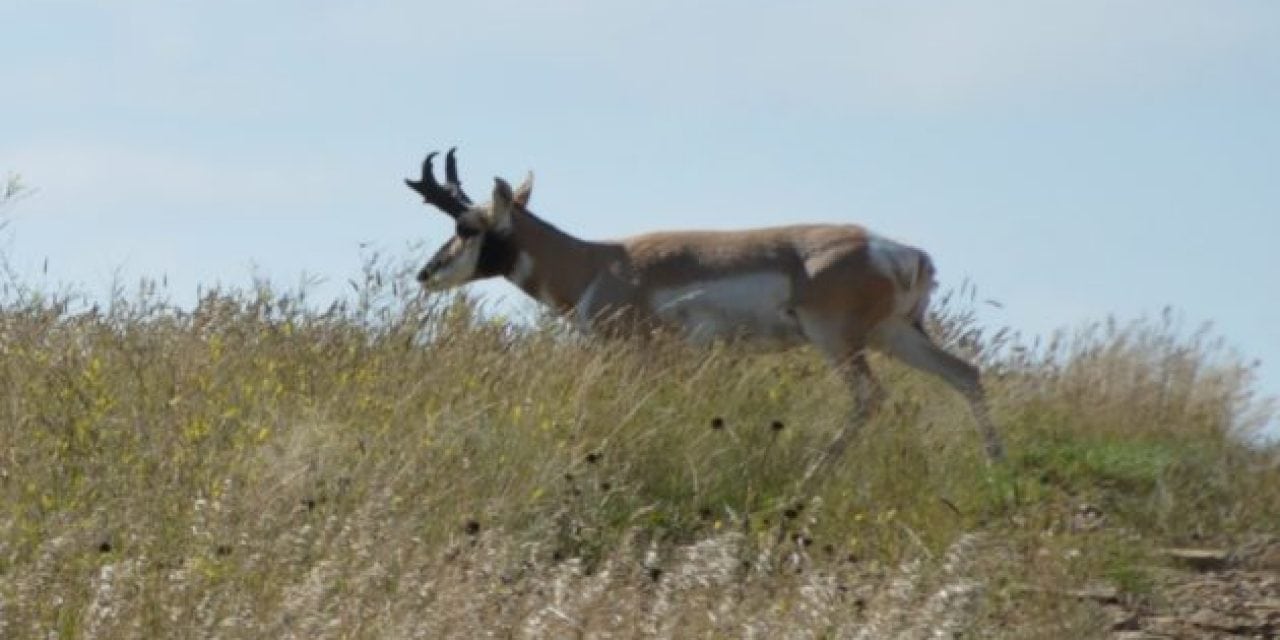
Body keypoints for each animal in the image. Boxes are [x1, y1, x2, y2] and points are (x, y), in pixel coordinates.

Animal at [404, 149, 1003, 460]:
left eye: (466, 225)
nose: (425, 274)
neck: (598, 260)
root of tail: (900, 252)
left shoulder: (637, 353)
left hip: (838, 341)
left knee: (869, 397)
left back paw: (813, 471)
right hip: (895, 335)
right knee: (966, 375)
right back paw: (997, 469)